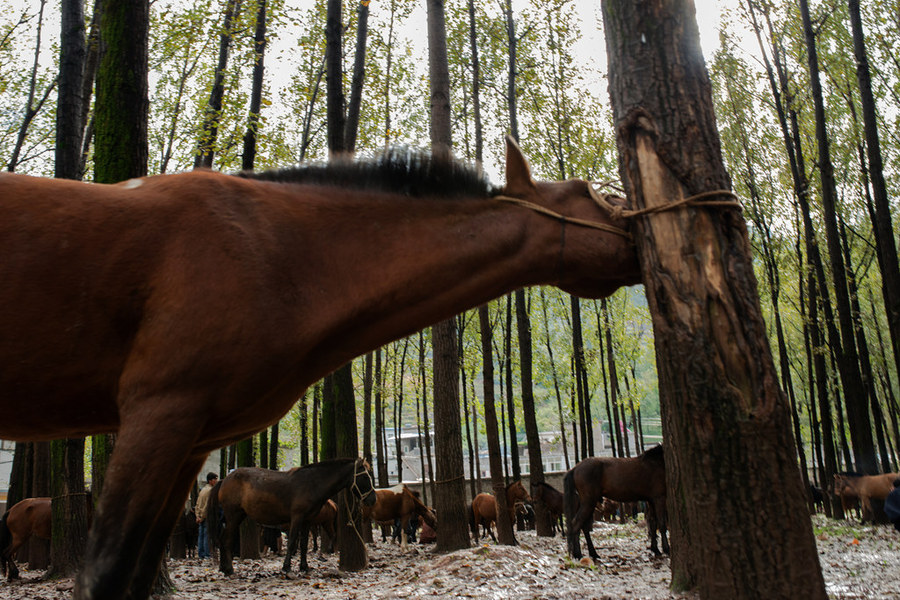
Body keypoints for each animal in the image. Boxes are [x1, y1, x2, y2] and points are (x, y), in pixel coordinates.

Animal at [209, 458, 374, 576]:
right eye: (365, 477)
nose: (372, 498)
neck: (312, 483)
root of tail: (224, 479)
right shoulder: (297, 517)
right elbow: (293, 540)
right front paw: (286, 567)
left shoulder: (307, 521)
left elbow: (304, 543)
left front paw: (304, 567)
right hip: (233, 515)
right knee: (227, 539)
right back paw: (229, 569)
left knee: (223, 538)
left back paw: (223, 567)